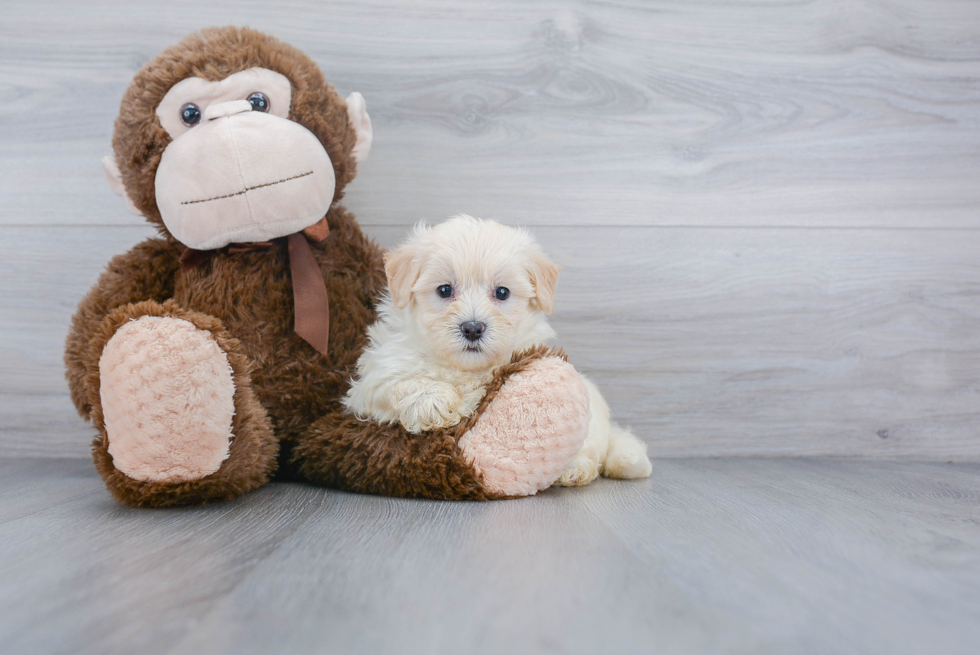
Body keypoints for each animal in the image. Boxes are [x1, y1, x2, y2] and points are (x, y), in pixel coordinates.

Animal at [340, 217, 656, 486]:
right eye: (444, 290)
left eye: (502, 293)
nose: (472, 328)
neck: (462, 368)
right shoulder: (373, 380)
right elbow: (400, 385)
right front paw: (440, 403)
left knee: (590, 448)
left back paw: (575, 469)